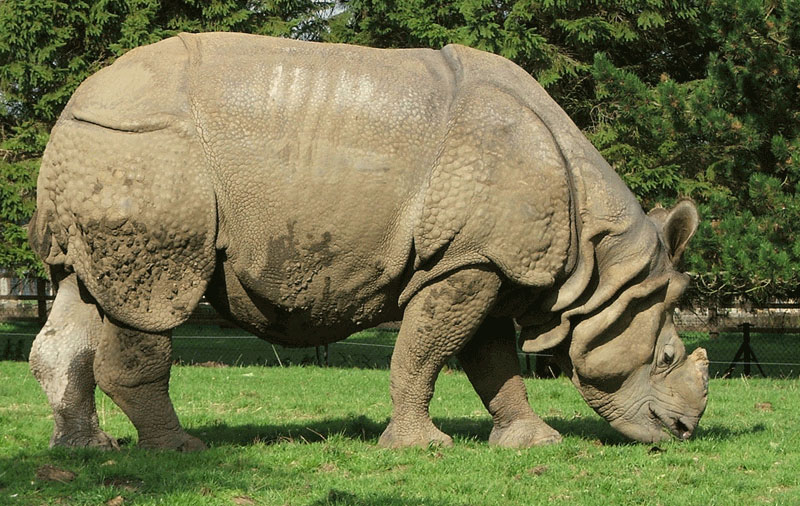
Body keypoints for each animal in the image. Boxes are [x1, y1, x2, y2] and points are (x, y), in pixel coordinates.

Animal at [28, 32, 708, 451]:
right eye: (667, 357)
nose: (683, 430)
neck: (601, 261)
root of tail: (73, 106)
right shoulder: (468, 262)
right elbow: (425, 353)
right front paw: (423, 448)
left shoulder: (478, 260)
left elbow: (491, 361)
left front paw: (533, 441)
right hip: (145, 154)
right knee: (153, 302)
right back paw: (179, 450)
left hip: (105, 154)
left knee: (80, 292)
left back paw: (87, 450)